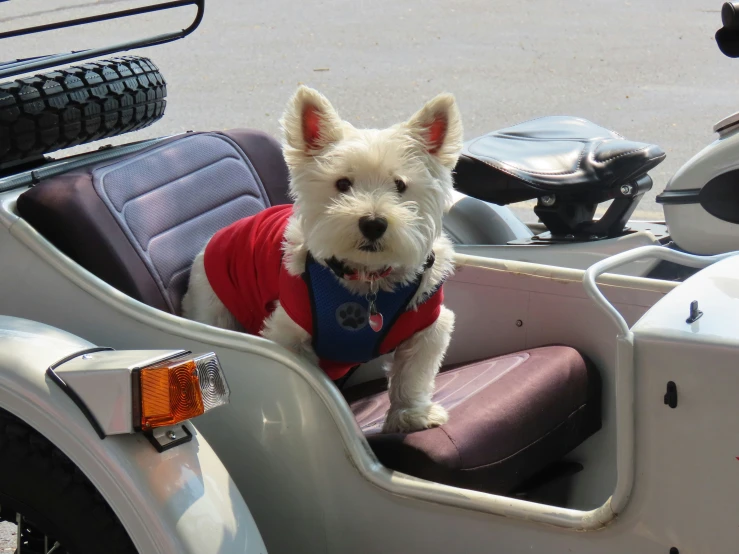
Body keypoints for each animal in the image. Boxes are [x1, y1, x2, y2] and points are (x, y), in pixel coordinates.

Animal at [184, 86, 462, 432]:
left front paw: (412, 416)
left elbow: (412, 377)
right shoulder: (288, 333)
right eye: (342, 183)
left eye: (400, 184)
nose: (373, 223)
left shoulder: (427, 326)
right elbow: (305, 388)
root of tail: (215, 236)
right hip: (213, 306)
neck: (365, 279)